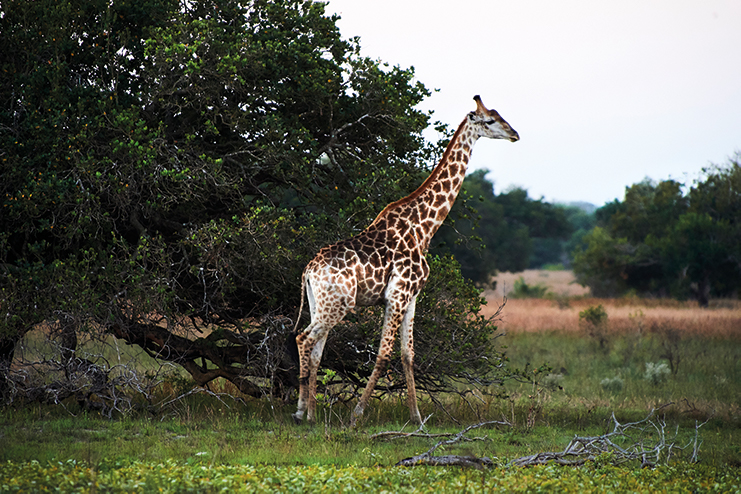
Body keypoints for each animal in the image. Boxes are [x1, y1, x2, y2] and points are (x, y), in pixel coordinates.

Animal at [292, 95, 516, 424]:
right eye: (489, 120)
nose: (515, 134)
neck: (424, 228)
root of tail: (308, 270)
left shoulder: (411, 298)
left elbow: (408, 355)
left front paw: (417, 418)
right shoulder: (396, 296)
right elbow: (384, 354)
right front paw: (357, 414)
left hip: (319, 304)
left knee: (315, 347)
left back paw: (309, 412)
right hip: (338, 305)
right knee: (304, 340)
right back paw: (302, 412)